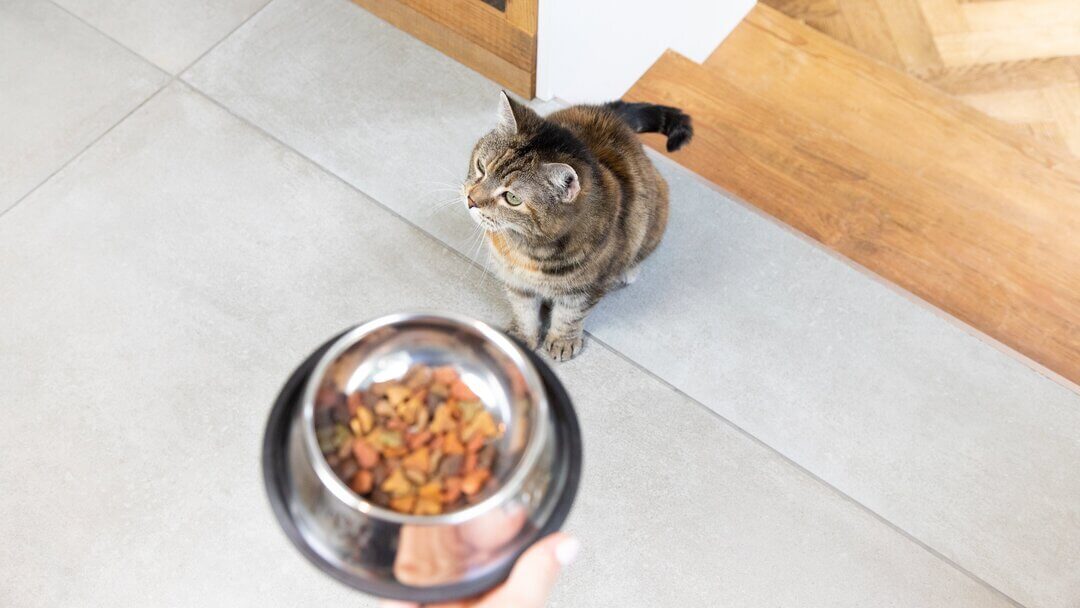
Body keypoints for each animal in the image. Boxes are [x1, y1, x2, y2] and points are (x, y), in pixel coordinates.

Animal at [460, 92, 686, 360]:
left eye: (512, 198)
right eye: (481, 167)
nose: (471, 199)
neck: (527, 248)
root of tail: (611, 113)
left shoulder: (584, 289)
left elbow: (569, 316)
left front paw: (562, 341)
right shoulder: (515, 281)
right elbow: (524, 311)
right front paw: (522, 337)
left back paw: (628, 270)